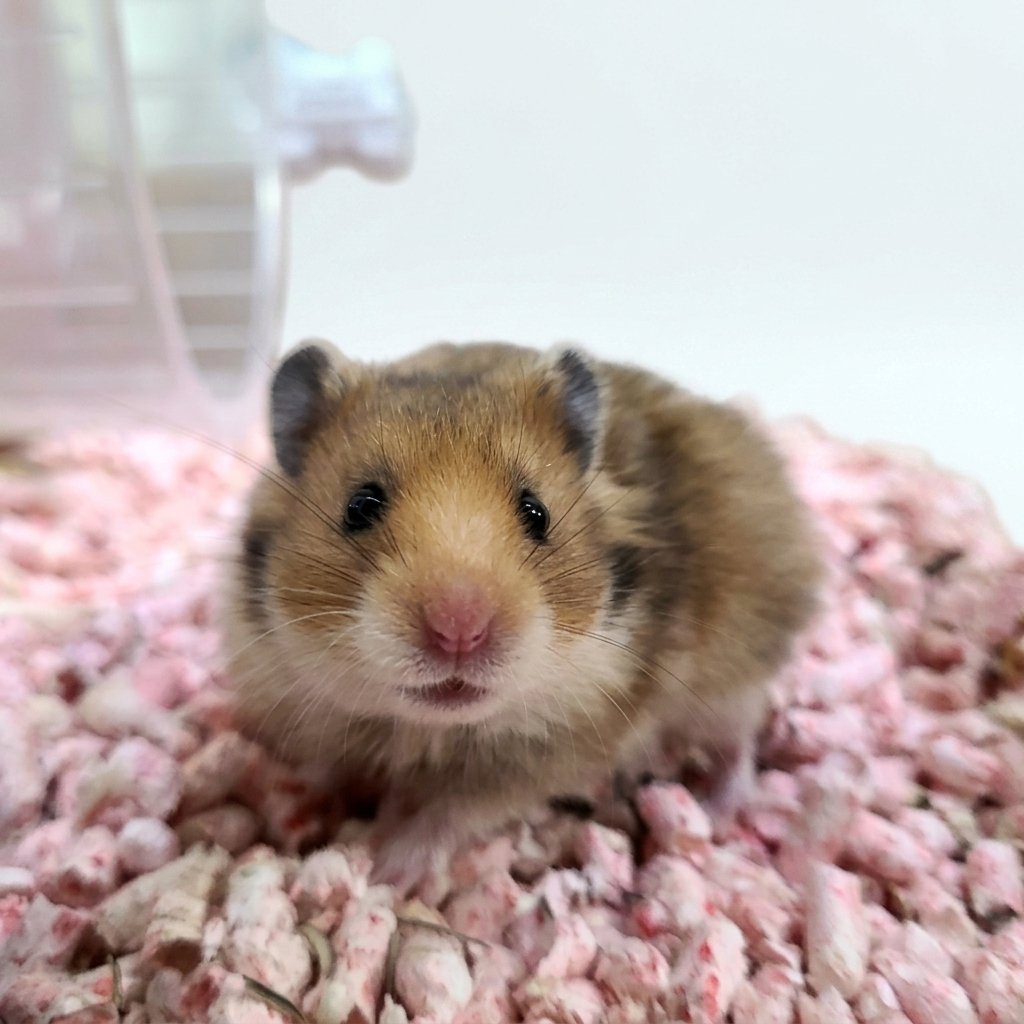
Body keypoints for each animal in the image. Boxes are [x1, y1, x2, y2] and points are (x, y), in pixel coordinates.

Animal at [224, 339, 822, 887]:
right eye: (359, 507)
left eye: (537, 513)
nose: (459, 631)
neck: (425, 726)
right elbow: (328, 771)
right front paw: (303, 814)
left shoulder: (551, 750)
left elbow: (451, 811)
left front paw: (390, 869)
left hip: (732, 683)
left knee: (739, 743)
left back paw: (719, 814)